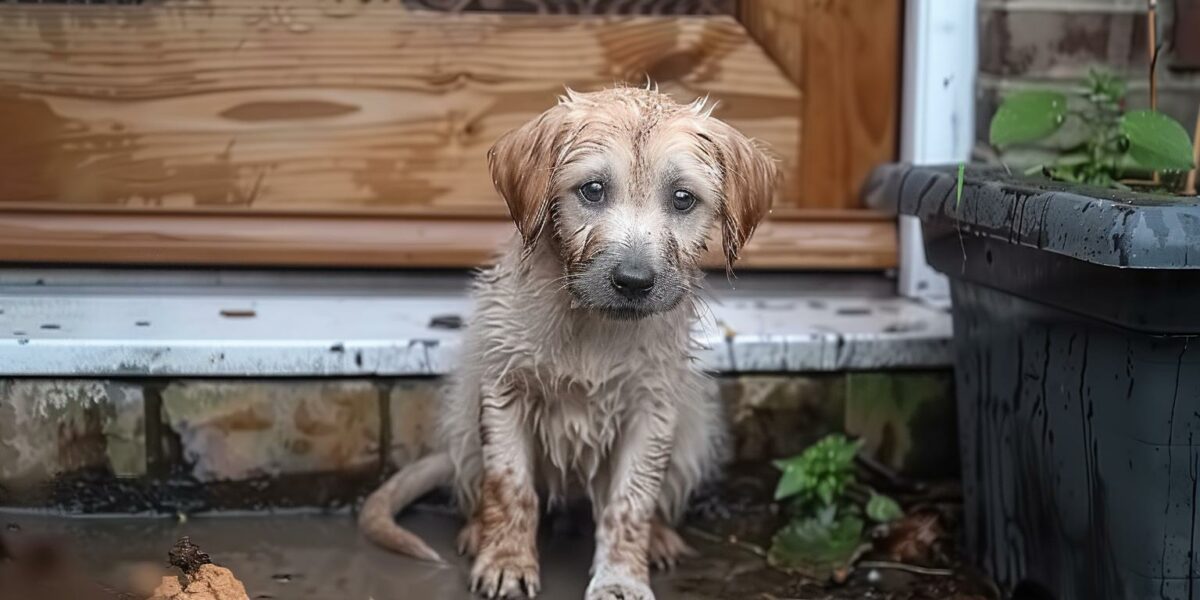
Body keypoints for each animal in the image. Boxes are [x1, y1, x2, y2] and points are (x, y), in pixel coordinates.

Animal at [360, 85, 777, 600]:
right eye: (592, 190)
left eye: (683, 199)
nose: (633, 281)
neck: (590, 326)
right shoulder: (505, 392)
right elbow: (510, 487)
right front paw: (506, 561)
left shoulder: (651, 411)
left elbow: (631, 502)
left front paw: (621, 577)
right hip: (462, 420)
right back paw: (478, 531)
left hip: (692, 430)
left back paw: (658, 539)